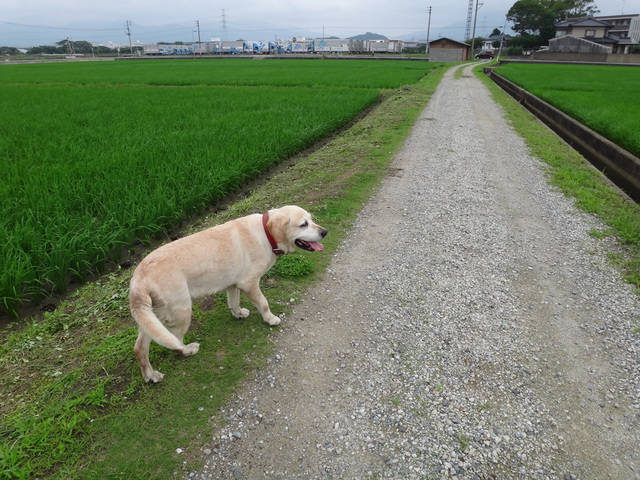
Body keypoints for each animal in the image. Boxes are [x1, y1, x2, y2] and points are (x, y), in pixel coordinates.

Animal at [132, 205, 328, 382]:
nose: (325, 232)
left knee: (140, 348)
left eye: (311, 219)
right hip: (182, 311)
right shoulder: (249, 283)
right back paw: (188, 350)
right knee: (176, 342)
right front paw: (270, 319)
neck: (267, 235)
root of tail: (139, 278)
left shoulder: (233, 284)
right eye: (303, 224)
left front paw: (238, 313)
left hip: (152, 318)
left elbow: (234, 302)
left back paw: (151, 375)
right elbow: (263, 303)